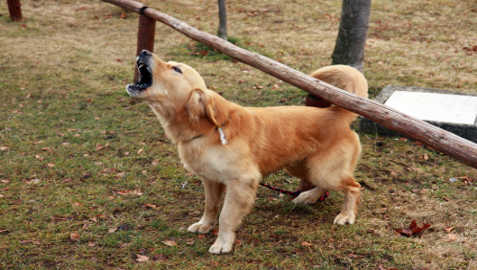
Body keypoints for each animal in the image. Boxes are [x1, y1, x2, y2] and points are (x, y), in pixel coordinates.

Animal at [124, 49, 366, 254]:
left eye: (176, 69)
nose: (144, 52)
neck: (206, 131)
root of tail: (335, 112)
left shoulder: (241, 181)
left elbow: (225, 216)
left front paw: (222, 243)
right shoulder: (211, 180)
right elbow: (210, 206)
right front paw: (204, 225)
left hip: (323, 170)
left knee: (354, 187)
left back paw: (346, 215)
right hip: (301, 166)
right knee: (325, 186)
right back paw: (308, 197)